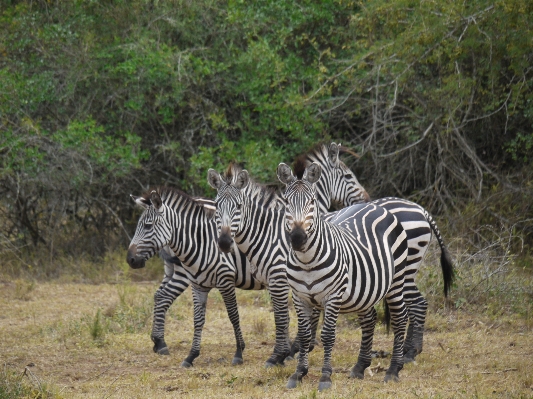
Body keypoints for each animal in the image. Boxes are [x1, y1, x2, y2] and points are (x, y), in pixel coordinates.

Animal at [125, 188, 296, 368]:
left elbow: (234, 316)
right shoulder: (198, 283)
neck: (201, 240)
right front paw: (191, 356)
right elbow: (198, 319)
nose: (130, 259)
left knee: (161, 295)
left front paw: (239, 352)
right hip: (175, 271)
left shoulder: (226, 279)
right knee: (161, 296)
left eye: (148, 226)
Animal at [274, 162, 408, 390]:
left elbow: (328, 336)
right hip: (365, 290)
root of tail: (375, 206)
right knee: (369, 319)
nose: (298, 238)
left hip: (397, 280)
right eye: (287, 203)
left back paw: (393, 370)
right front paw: (298, 374)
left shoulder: (333, 296)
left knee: (400, 318)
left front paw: (325, 377)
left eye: (312, 202)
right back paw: (360, 367)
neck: (306, 261)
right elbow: (304, 336)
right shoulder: (299, 297)